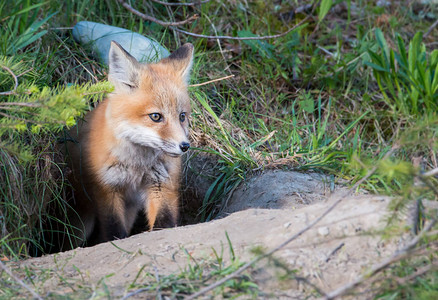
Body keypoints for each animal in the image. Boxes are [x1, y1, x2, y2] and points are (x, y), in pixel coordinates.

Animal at [63, 41, 193, 248]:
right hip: (81, 222)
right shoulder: (107, 188)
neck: (138, 166)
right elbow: (114, 230)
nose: (184, 146)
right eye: (155, 116)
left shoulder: (162, 185)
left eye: (182, 116)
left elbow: (164, 222)